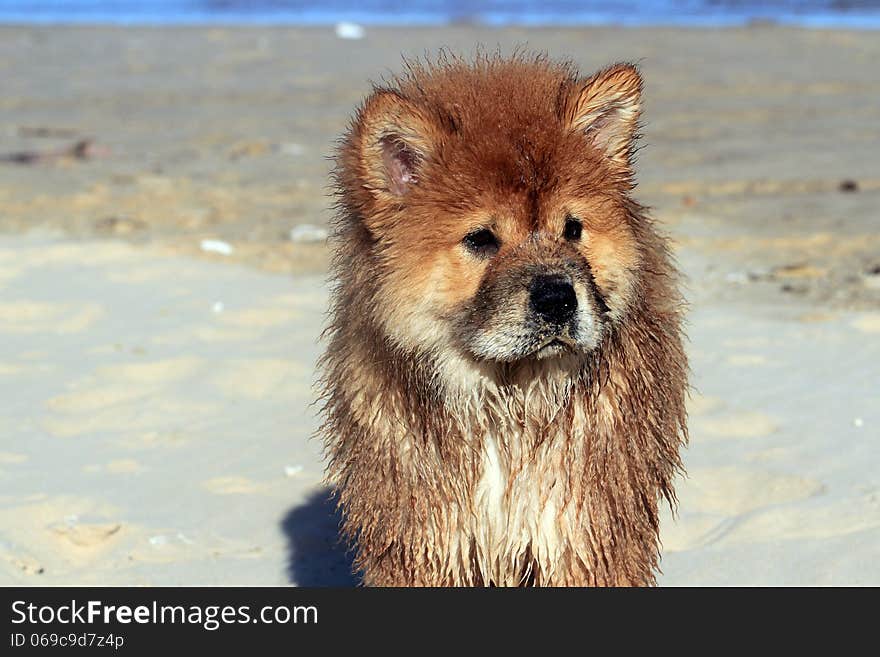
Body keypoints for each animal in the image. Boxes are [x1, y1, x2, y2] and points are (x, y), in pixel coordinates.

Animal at [316, 52, 688, 584]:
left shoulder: (580, 535)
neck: (508, 406)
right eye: (481, 239)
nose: (557, 298)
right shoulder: (428, 540)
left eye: (572, 229)